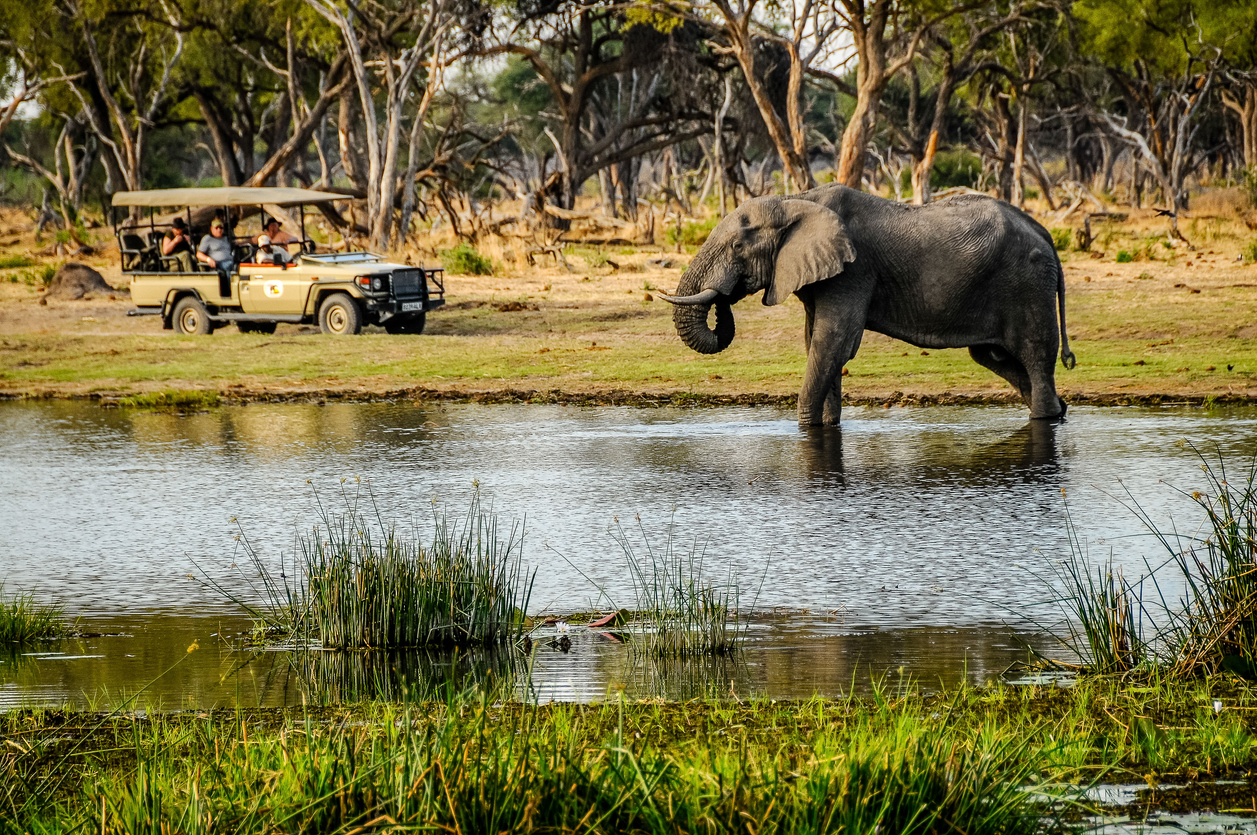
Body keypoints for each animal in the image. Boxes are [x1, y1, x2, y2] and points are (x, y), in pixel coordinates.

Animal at [660, 184, 1076, 425]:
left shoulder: (853, 271)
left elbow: (833, 343)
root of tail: (1045, 233)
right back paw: (1059, 410)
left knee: (1035, 357)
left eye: (737, 246)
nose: (725, 296)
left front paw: (805, 427)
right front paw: (827, 426)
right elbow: (817, 345)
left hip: (1028, 285)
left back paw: (1046, 416)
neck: (795, 200)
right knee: (996, 359)